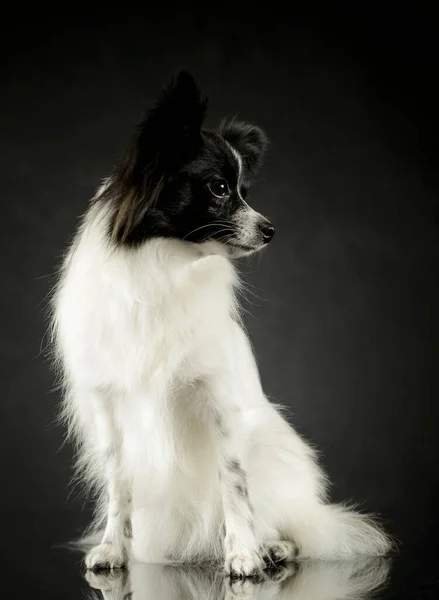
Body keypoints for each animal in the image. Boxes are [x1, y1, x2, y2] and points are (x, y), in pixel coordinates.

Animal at [49, 70, 390, 576]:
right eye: (218, 189)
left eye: (245, 190)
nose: (270, 230)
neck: (165, 266)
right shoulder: (109, 407)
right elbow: (119, 485)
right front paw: (113, 549)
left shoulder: (218, 404)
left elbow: (233, 483)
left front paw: (244, 553)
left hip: (273, 453)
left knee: (293, 525)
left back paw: (273, 547)